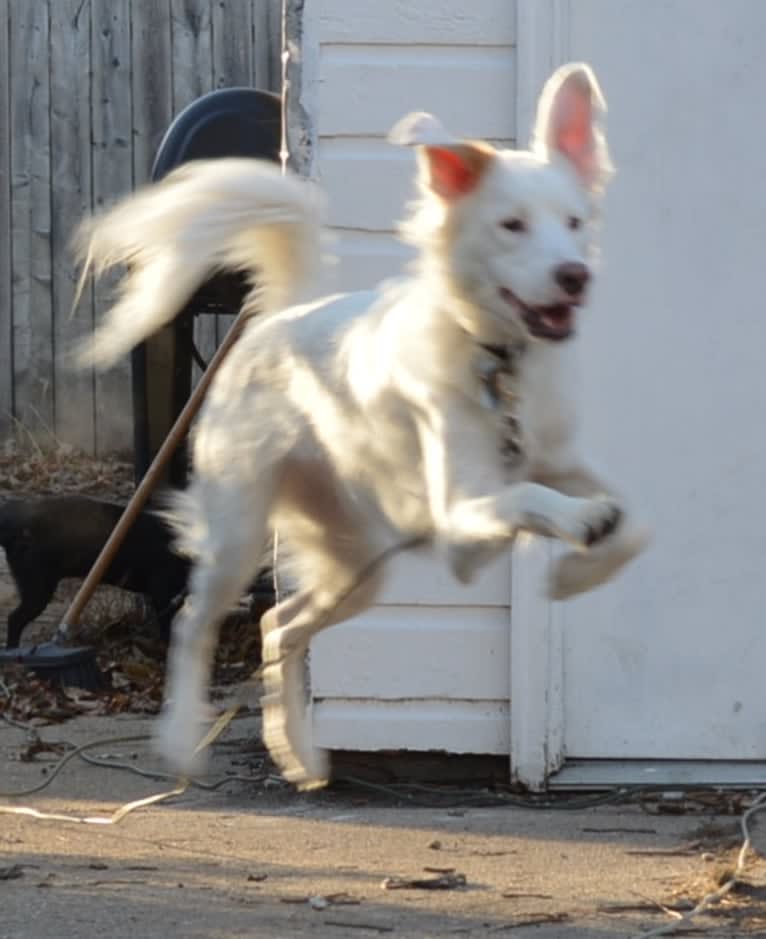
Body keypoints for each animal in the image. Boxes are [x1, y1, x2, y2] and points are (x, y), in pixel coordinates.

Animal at [78, 62, 652, 788]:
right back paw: (184, 738)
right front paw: (579, 525)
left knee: (279, 622)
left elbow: (634, 519)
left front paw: (577, 572)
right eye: (512, 225)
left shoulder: (555, 459)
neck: (499, 359)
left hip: (357, 562)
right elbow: (530, 496)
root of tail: (275, 319)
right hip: (241, 533)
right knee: (195, 620)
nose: (574, 276)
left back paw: (297, 752)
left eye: (575, 221)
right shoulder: (462, 506)